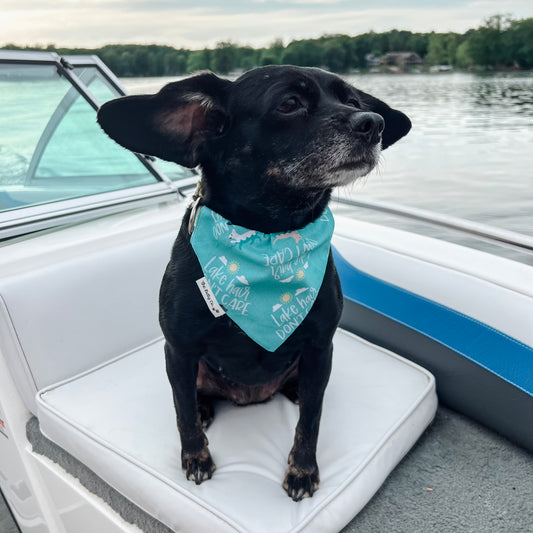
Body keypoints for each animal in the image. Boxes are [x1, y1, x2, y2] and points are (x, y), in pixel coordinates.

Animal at [97, 64, 410, 500]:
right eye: (289, 103)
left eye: (352, 100)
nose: (374, 123)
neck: (268, 237)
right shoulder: (178, 349)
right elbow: (182, 412)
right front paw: (195, 456)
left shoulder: (320, 346)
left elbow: (311, 419)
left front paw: (302, 469)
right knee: (191, 395)